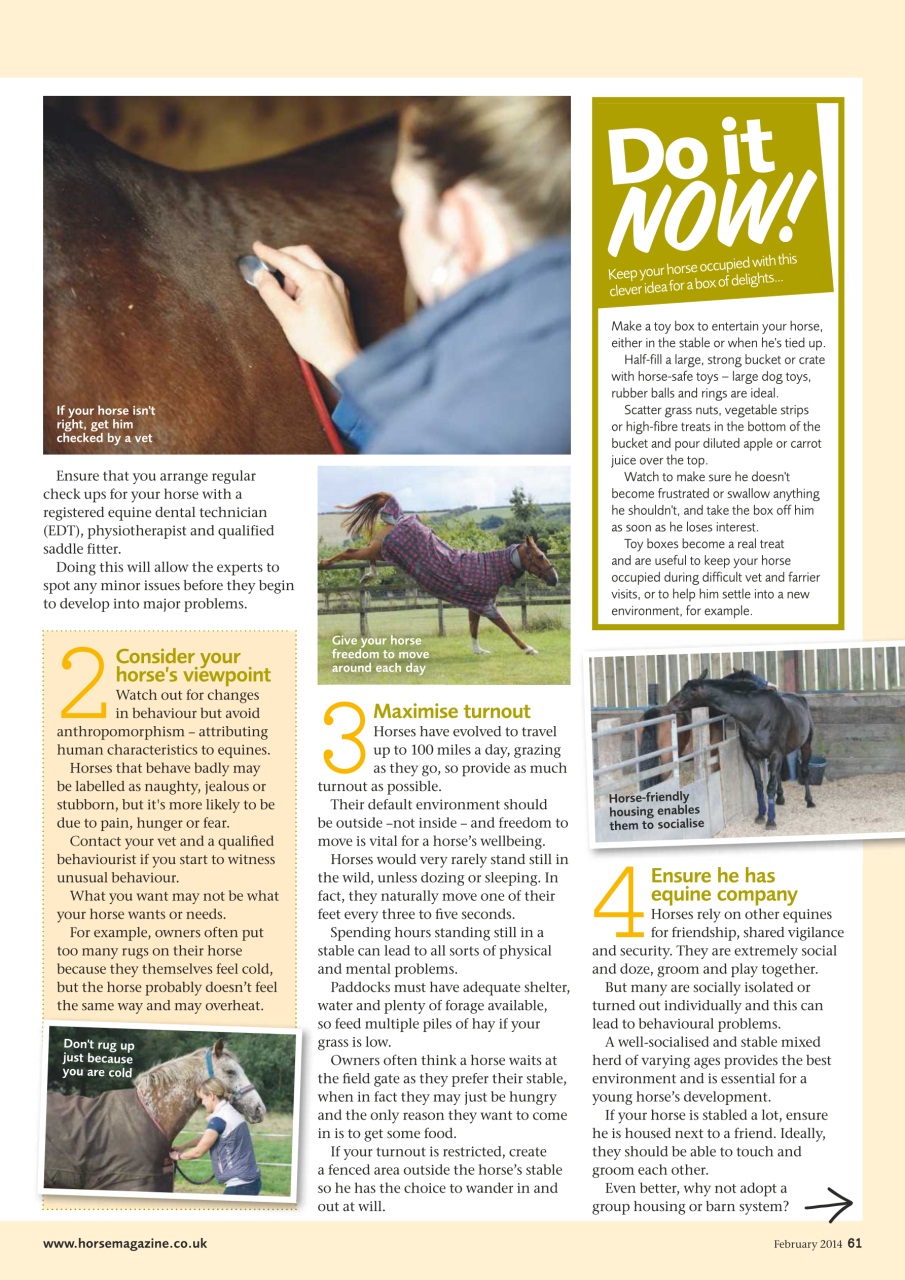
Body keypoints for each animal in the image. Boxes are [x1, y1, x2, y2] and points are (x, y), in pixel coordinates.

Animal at [318, 491, 559, 655]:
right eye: (540, 556)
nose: (554, 578)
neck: (491, 569)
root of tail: (401, 518)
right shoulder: (487, 605)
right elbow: (507, 628)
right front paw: (529, 648)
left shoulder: (475, 604)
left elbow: (474, 628)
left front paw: (478, 651)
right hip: (381, 549)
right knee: (350, 552)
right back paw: (323, 564)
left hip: (382, 550)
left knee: (366, 556)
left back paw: (368, 576)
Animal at [666, 669, 816, 829]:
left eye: (689, 691)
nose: (670, 705)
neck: (757, 715)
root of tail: (800, 698)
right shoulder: (752, 755)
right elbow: (759, 784)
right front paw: (761, 815)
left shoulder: (775, 754)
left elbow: (769, 786)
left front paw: (771, 821)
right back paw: (780, 798)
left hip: (806, 745)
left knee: (805, 770)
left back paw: (809, 801)